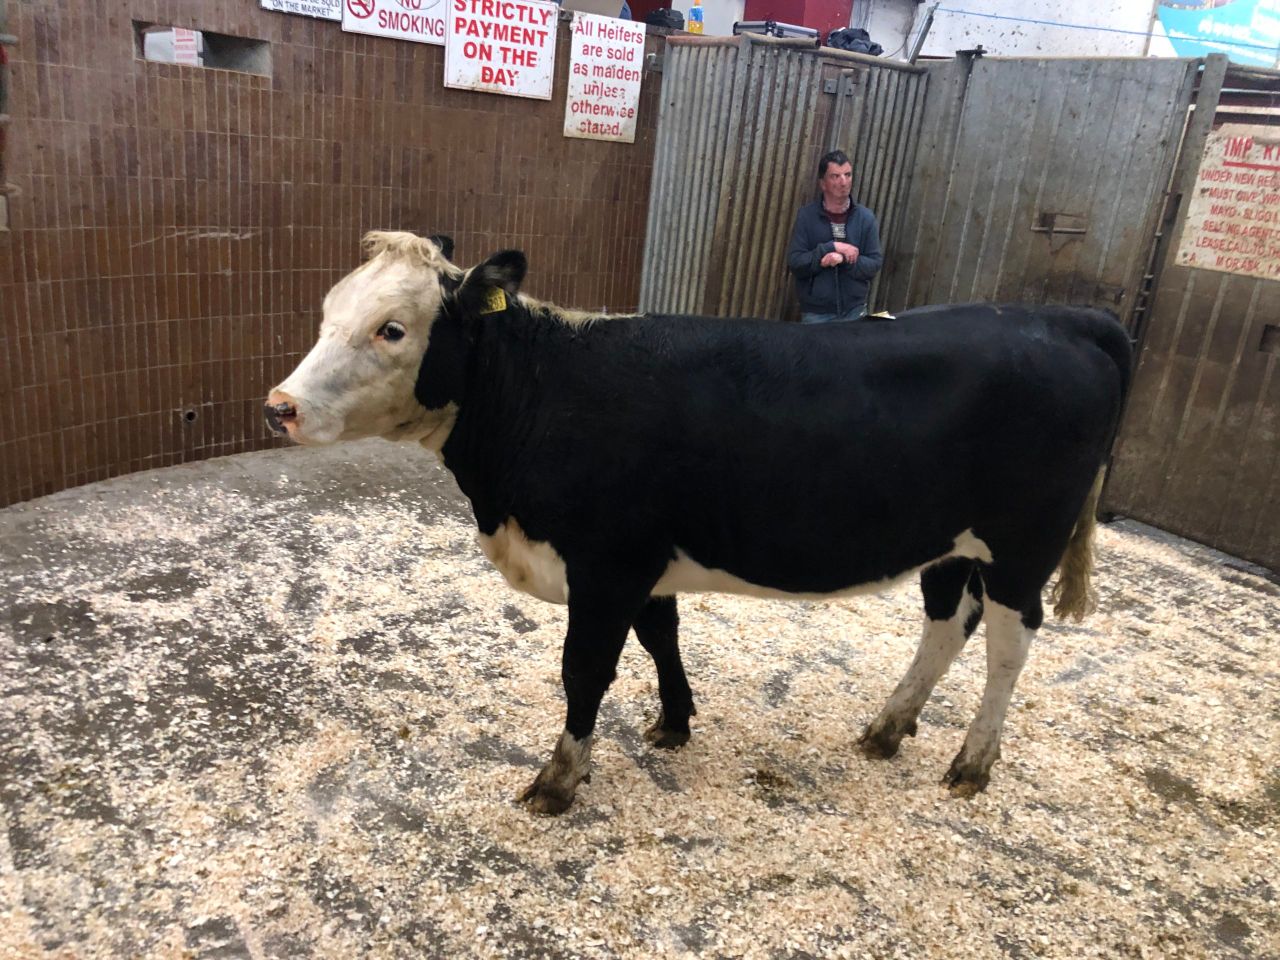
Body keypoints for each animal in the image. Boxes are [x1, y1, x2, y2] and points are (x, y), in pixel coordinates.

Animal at [266, 231, 1131, 815]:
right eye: (328, 313)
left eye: (392, 328)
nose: (280, 406)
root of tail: (1069, 317)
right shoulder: (643, 560)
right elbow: (661, 636)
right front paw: (675, 722)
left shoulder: (607, 562)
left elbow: (586, 669)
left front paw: (560, 778)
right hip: (948, 544)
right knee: (947, 625)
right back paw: (888, 727)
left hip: (1023, 546)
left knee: (1008, 647)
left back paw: (973, 762)